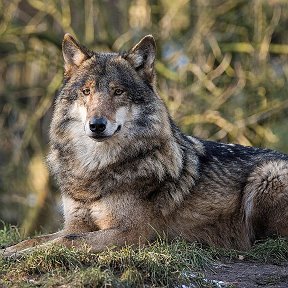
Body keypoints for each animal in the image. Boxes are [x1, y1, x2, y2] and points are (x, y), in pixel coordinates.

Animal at [2, 33, 288, 256]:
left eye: (118, 92)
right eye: (87, 91)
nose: (97, 125)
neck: (95, 169)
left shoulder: (131, 232)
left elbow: (66, 241)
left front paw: (23, 254)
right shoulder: (76, 224)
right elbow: (38, 238)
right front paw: (10, 250)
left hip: (268, 174)